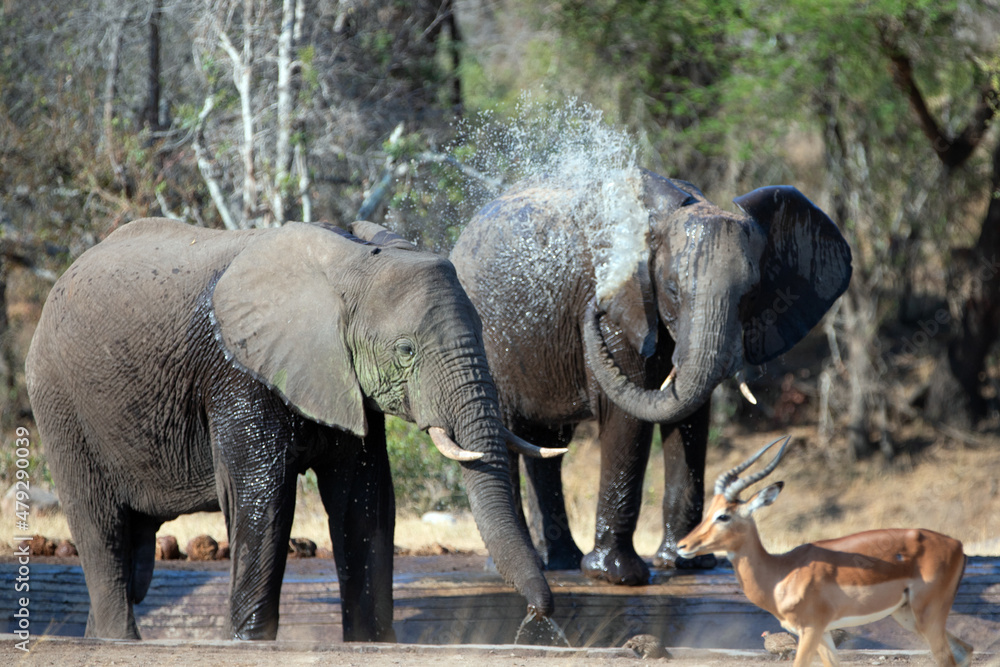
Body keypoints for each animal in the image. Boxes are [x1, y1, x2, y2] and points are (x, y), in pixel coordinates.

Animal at [26, 218, 561, 641]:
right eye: (406, 350)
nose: (538, 618)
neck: (348, 264)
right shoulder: (240, 373)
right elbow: (263, 498)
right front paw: (248, 642)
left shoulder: (343, 379)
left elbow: (365, 500)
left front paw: (371, 643)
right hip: (60, 404)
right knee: (103, 536)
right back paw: (117, 640)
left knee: (134, 556)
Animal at [450, 168, 852, 584]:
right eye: (672, 289)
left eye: (751, 294)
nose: (591, 310)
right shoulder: (620, 308)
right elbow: (628, 419)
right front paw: (616, 576)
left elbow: (690, 419)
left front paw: (687, 563)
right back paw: (511, 567)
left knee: (546, 444)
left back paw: (559, 561)